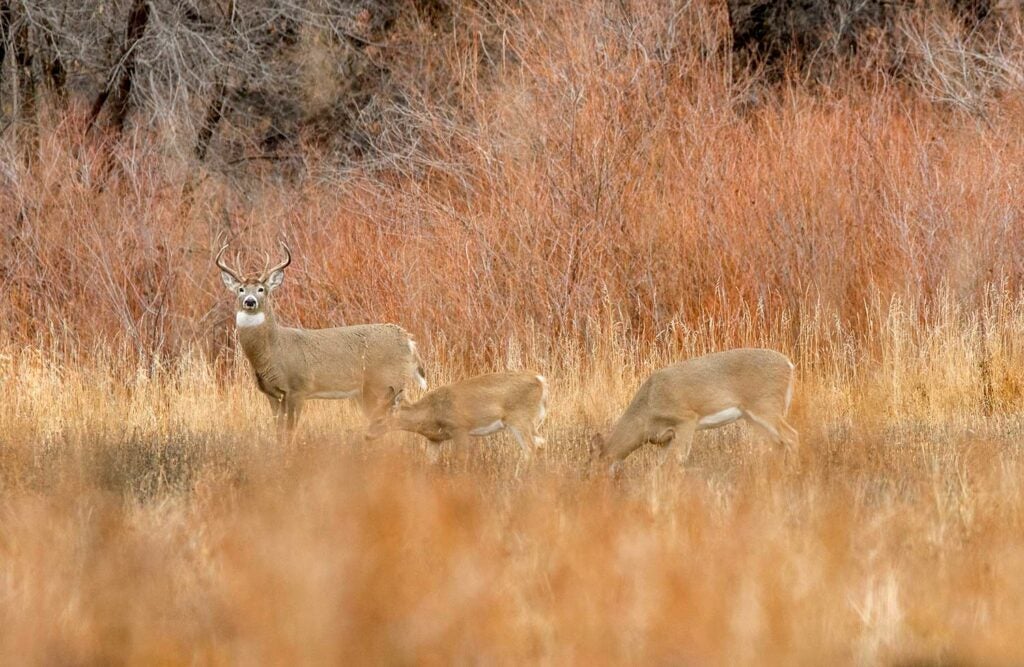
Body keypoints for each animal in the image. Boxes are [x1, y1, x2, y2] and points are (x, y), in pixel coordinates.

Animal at [216, 242, 427, 445]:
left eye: (261, 290)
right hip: (370, 391)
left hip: (388, 382)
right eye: (241, 289)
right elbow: (279, 433)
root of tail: (408, 339)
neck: (274, 350)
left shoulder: (298, 388)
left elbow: (290, 433)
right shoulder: (272, 393)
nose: (250, 301)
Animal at [364, 372, 548, 465]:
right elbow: (429, 462)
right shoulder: (435, 439)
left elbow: (460, 458)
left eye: (379, 419)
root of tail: (541, 381)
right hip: (528, 421)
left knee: (530, 448)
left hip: (519, 418)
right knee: (540, 444)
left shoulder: (460, 427)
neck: (432, 412)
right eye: (370, 415)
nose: (367, 436)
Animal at [590, 348, 798, 476]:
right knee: (779, 443)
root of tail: (789, 365)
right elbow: (661, 465)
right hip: (753, 416)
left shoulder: (686, 419)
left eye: (592, 464)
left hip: (766, 405)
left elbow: (678, 461)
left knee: (791, 436)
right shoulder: (666, 438)